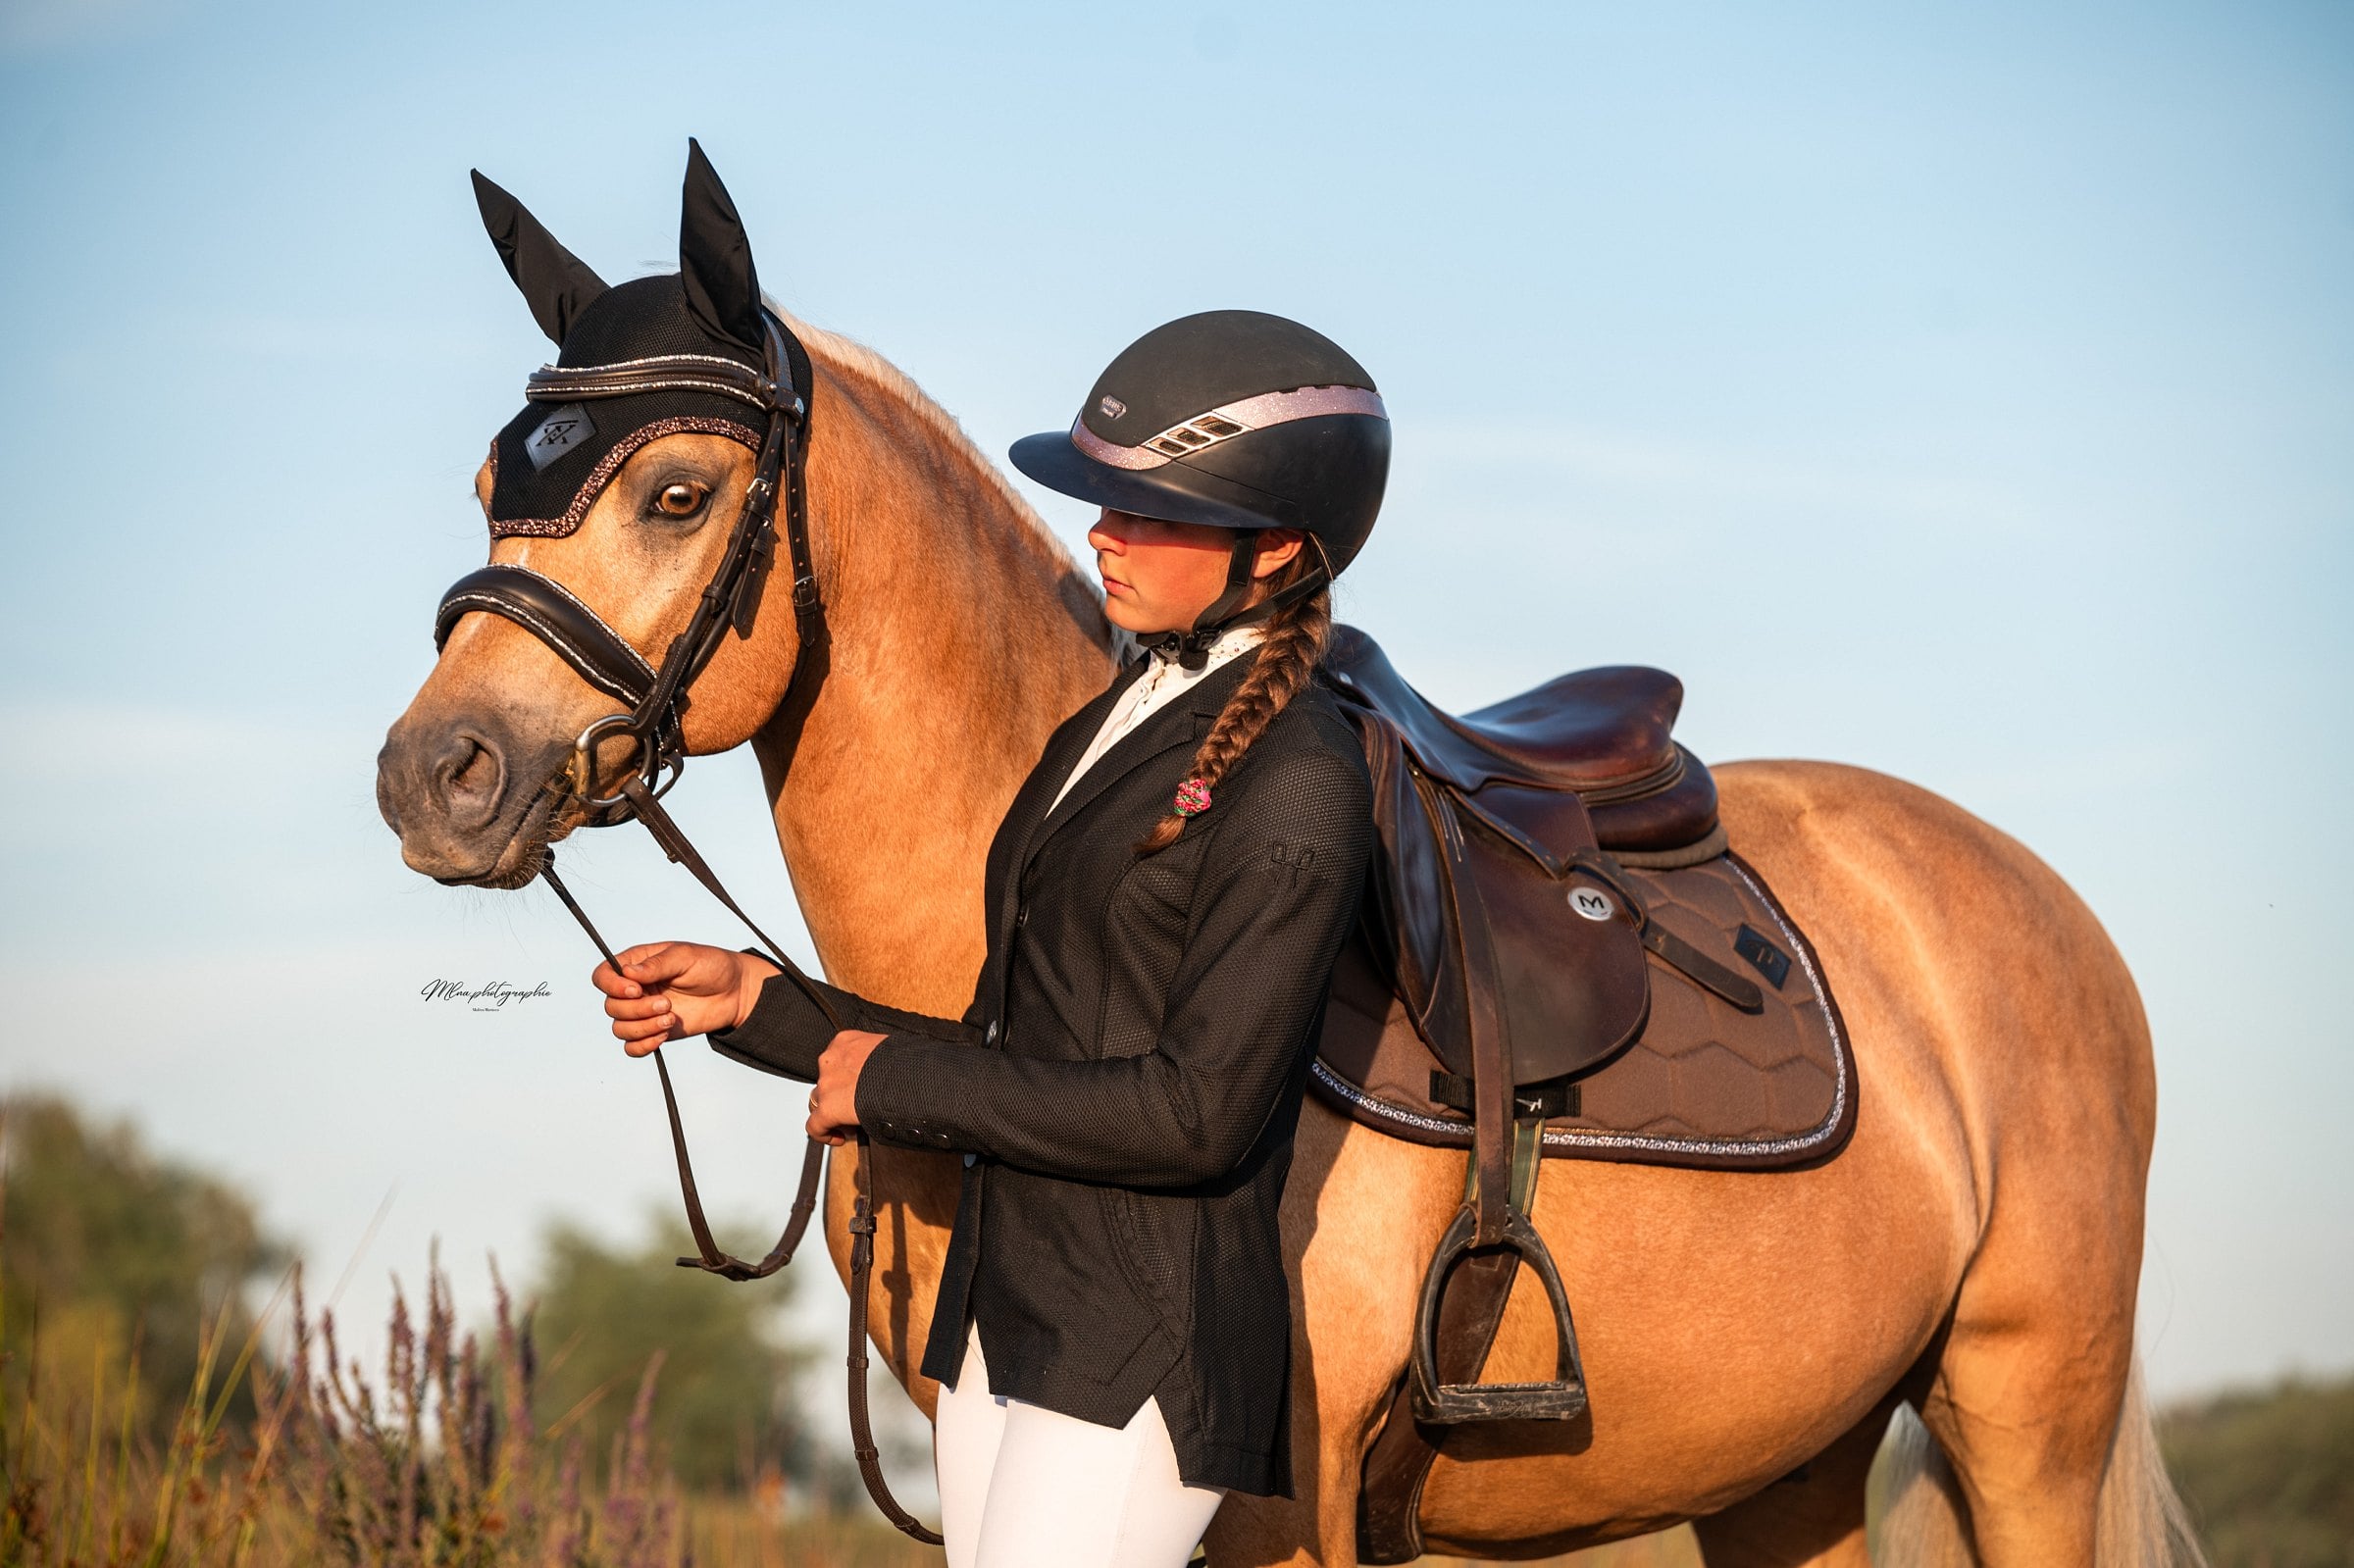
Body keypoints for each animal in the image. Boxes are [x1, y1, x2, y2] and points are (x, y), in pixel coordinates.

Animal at [377, 311, 2199, 1568]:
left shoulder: (1277, 1509)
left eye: (678, 490)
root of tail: (2028, 891)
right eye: (482, 485)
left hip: (2026, 1414)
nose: (433, 771)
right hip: (1789, 1461)